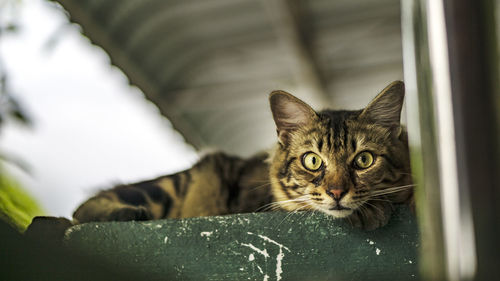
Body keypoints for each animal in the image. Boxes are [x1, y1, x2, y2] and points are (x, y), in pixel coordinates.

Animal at [72, 80, 412, 230]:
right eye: (312, 160)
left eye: (364, 160)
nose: (338, 192)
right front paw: (370, 211)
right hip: (180, 183)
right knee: (83, 208)